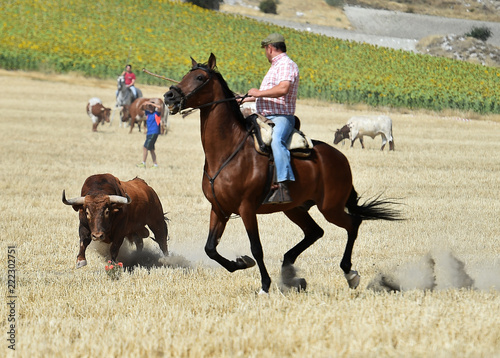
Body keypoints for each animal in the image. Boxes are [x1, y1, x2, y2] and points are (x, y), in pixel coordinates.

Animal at [164, 53, 402, 294]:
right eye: (186, 75)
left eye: (200, 77)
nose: (169, 95)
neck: (229, 151)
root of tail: (340, 158)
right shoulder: (219, 209)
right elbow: (210, 248)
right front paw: (241, 262)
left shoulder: (246, 209)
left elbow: (256, 247)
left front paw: (264, 285)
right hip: (295, 208)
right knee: (315, 232)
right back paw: (290, 271)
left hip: (330, 207)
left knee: (353, 224)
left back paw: (349, 273)